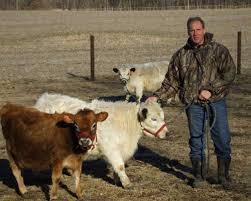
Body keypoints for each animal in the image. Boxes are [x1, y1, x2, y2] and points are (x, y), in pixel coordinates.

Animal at [34, 92, 168, 188]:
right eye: (154, 119)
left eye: (162, 116)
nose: (166, 133)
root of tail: (44, 99)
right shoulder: (111, 149)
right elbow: (120, 166)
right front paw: (127, 183)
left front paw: (117, 180)